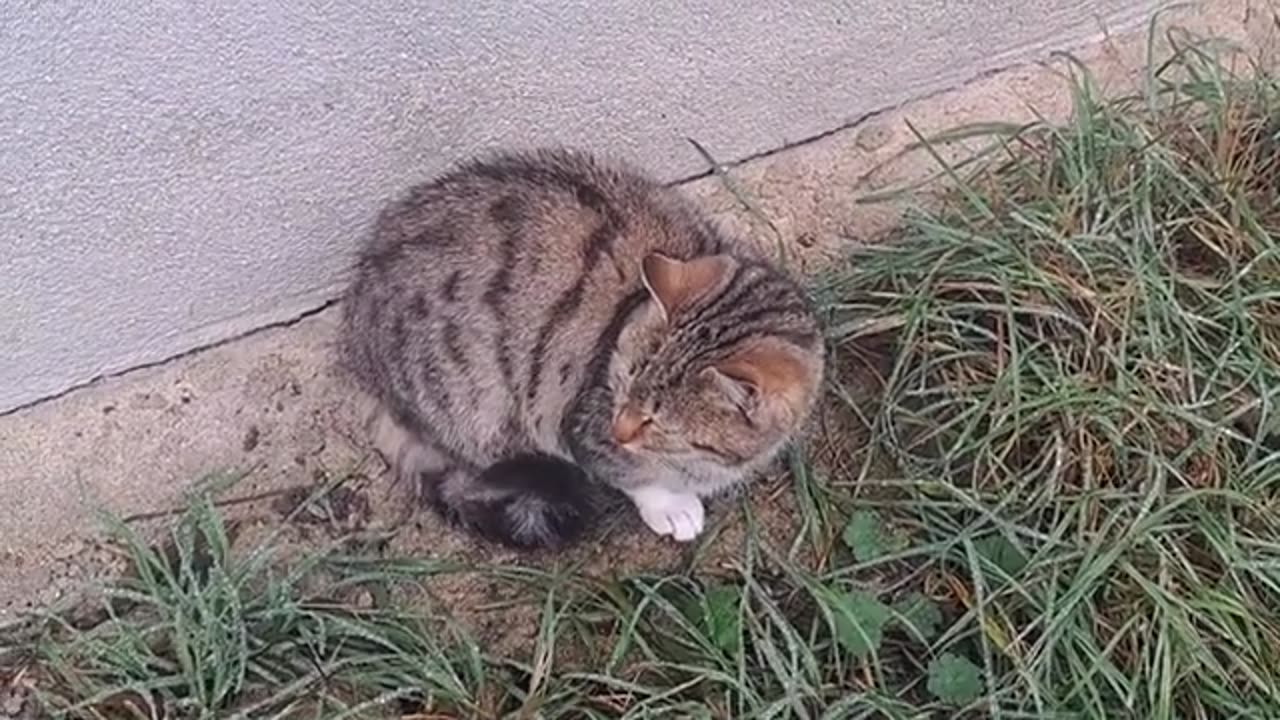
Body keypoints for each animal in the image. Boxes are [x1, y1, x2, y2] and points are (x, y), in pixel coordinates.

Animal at [335, 148, 824, 545]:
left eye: (658, 421)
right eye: (619, 384)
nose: (619, 430)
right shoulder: (575, 421)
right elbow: (626, 471)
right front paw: (669, 504)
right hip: (476, 405)